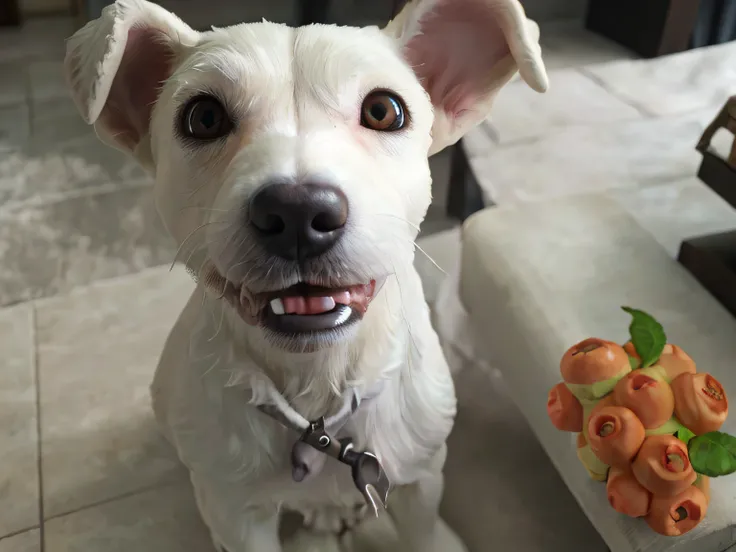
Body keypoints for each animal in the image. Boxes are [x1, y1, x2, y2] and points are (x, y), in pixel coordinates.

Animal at [64, 1, 548, 548]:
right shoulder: (236, 515)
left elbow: (422, 531)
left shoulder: (421, 481)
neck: (318, 395)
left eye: (384, 110)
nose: (297, 213)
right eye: (203, 117)